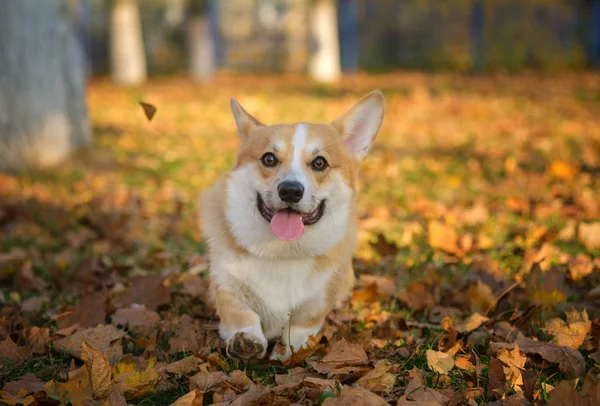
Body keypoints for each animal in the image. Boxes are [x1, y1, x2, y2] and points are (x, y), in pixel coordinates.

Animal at [200, 90, 384, 360]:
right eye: (269, 158)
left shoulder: (318, 300)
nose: (290, 191)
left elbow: (301, 325)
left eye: (319, 163)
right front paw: (246, 340)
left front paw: (289, 350)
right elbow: (242, 315)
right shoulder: (226, 285)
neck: (282, 251)